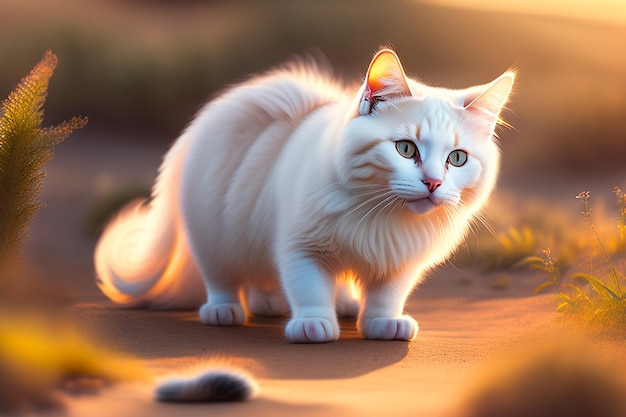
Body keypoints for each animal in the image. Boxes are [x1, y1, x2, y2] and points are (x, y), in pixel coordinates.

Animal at [92, 48, 512, 344]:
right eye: (406, 149)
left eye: (457, 158)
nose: (433, 183)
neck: (382, 216)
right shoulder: (300, 246)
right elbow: (307, 285)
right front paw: (313, 323)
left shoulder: (401, 262)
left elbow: (386, 295)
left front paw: (382, 322)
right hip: (215, 230)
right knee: (222, 274)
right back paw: (226, 310)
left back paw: (318, 303)